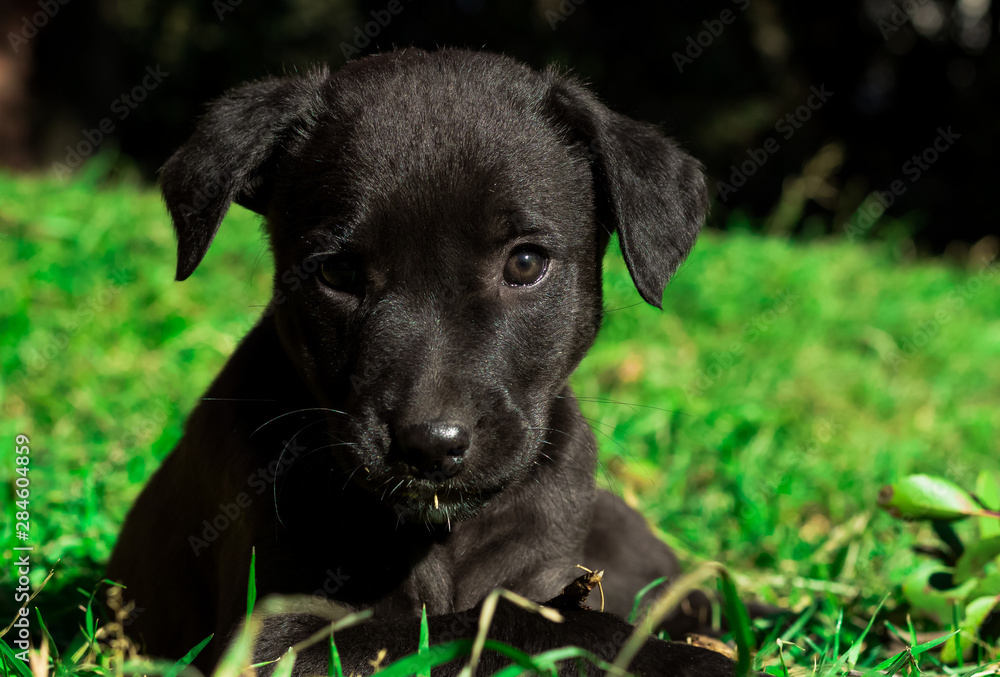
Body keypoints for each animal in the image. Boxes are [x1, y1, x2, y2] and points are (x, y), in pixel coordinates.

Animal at [111, 50, 736, 672]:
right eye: (336, 271)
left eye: (526, 263)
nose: (430, 445)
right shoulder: (273, 638)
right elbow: (503, 622)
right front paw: (678, 658)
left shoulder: (548, 567)